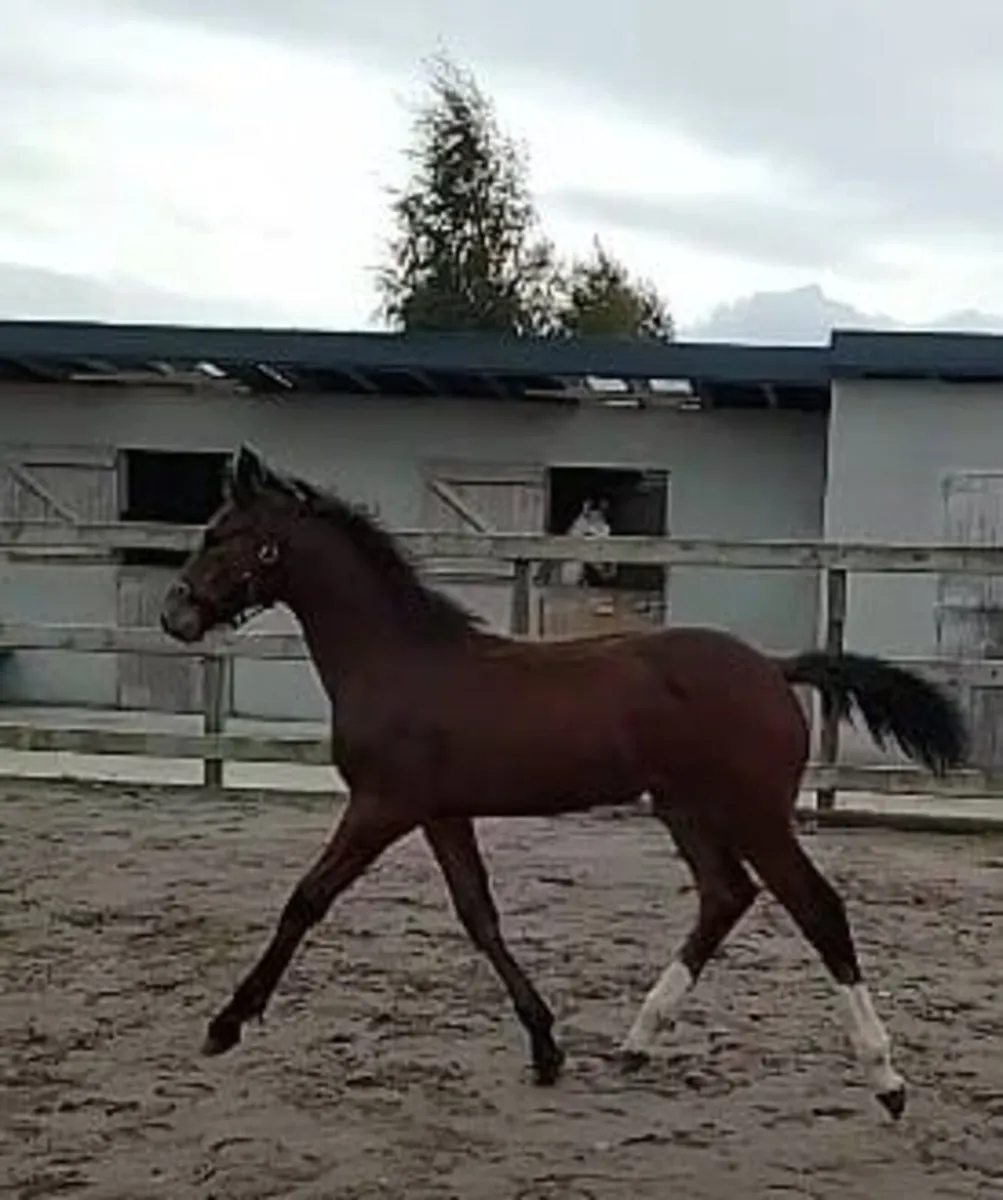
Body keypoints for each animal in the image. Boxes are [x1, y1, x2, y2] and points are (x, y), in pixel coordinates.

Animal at [160, 445, 967, 1121]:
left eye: (220, 534)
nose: (175, 614)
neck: (397, 661)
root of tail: (774, 667)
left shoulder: (381, 805)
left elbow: (306, 900)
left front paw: (226, 1024)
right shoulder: (439, 812)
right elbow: (479, 916)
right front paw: (546, 1047)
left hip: (754, 813)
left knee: (817, 908)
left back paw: (885, 1080)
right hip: (686, 808)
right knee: (724, 896)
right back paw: (639, 1039)